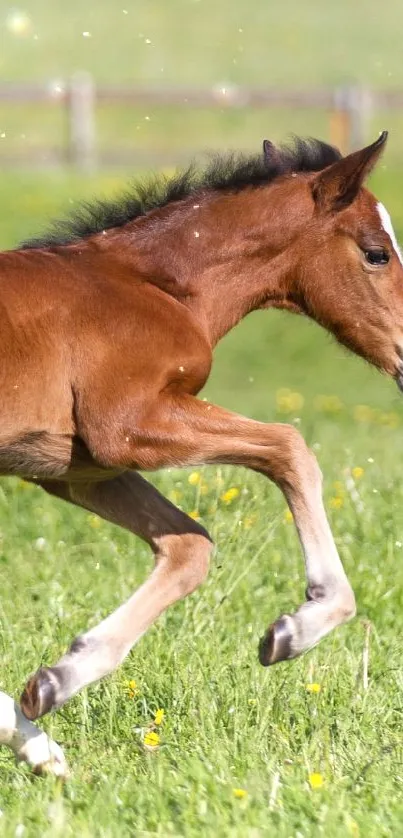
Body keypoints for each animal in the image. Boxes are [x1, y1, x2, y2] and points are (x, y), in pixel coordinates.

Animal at [0, 131, 403, 780]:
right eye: (376, 254)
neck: (154, 286)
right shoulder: (127, 425)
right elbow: (290, 447)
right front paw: (300, 626)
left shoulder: (78, 467)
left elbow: (190, 546)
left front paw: (56, 685)